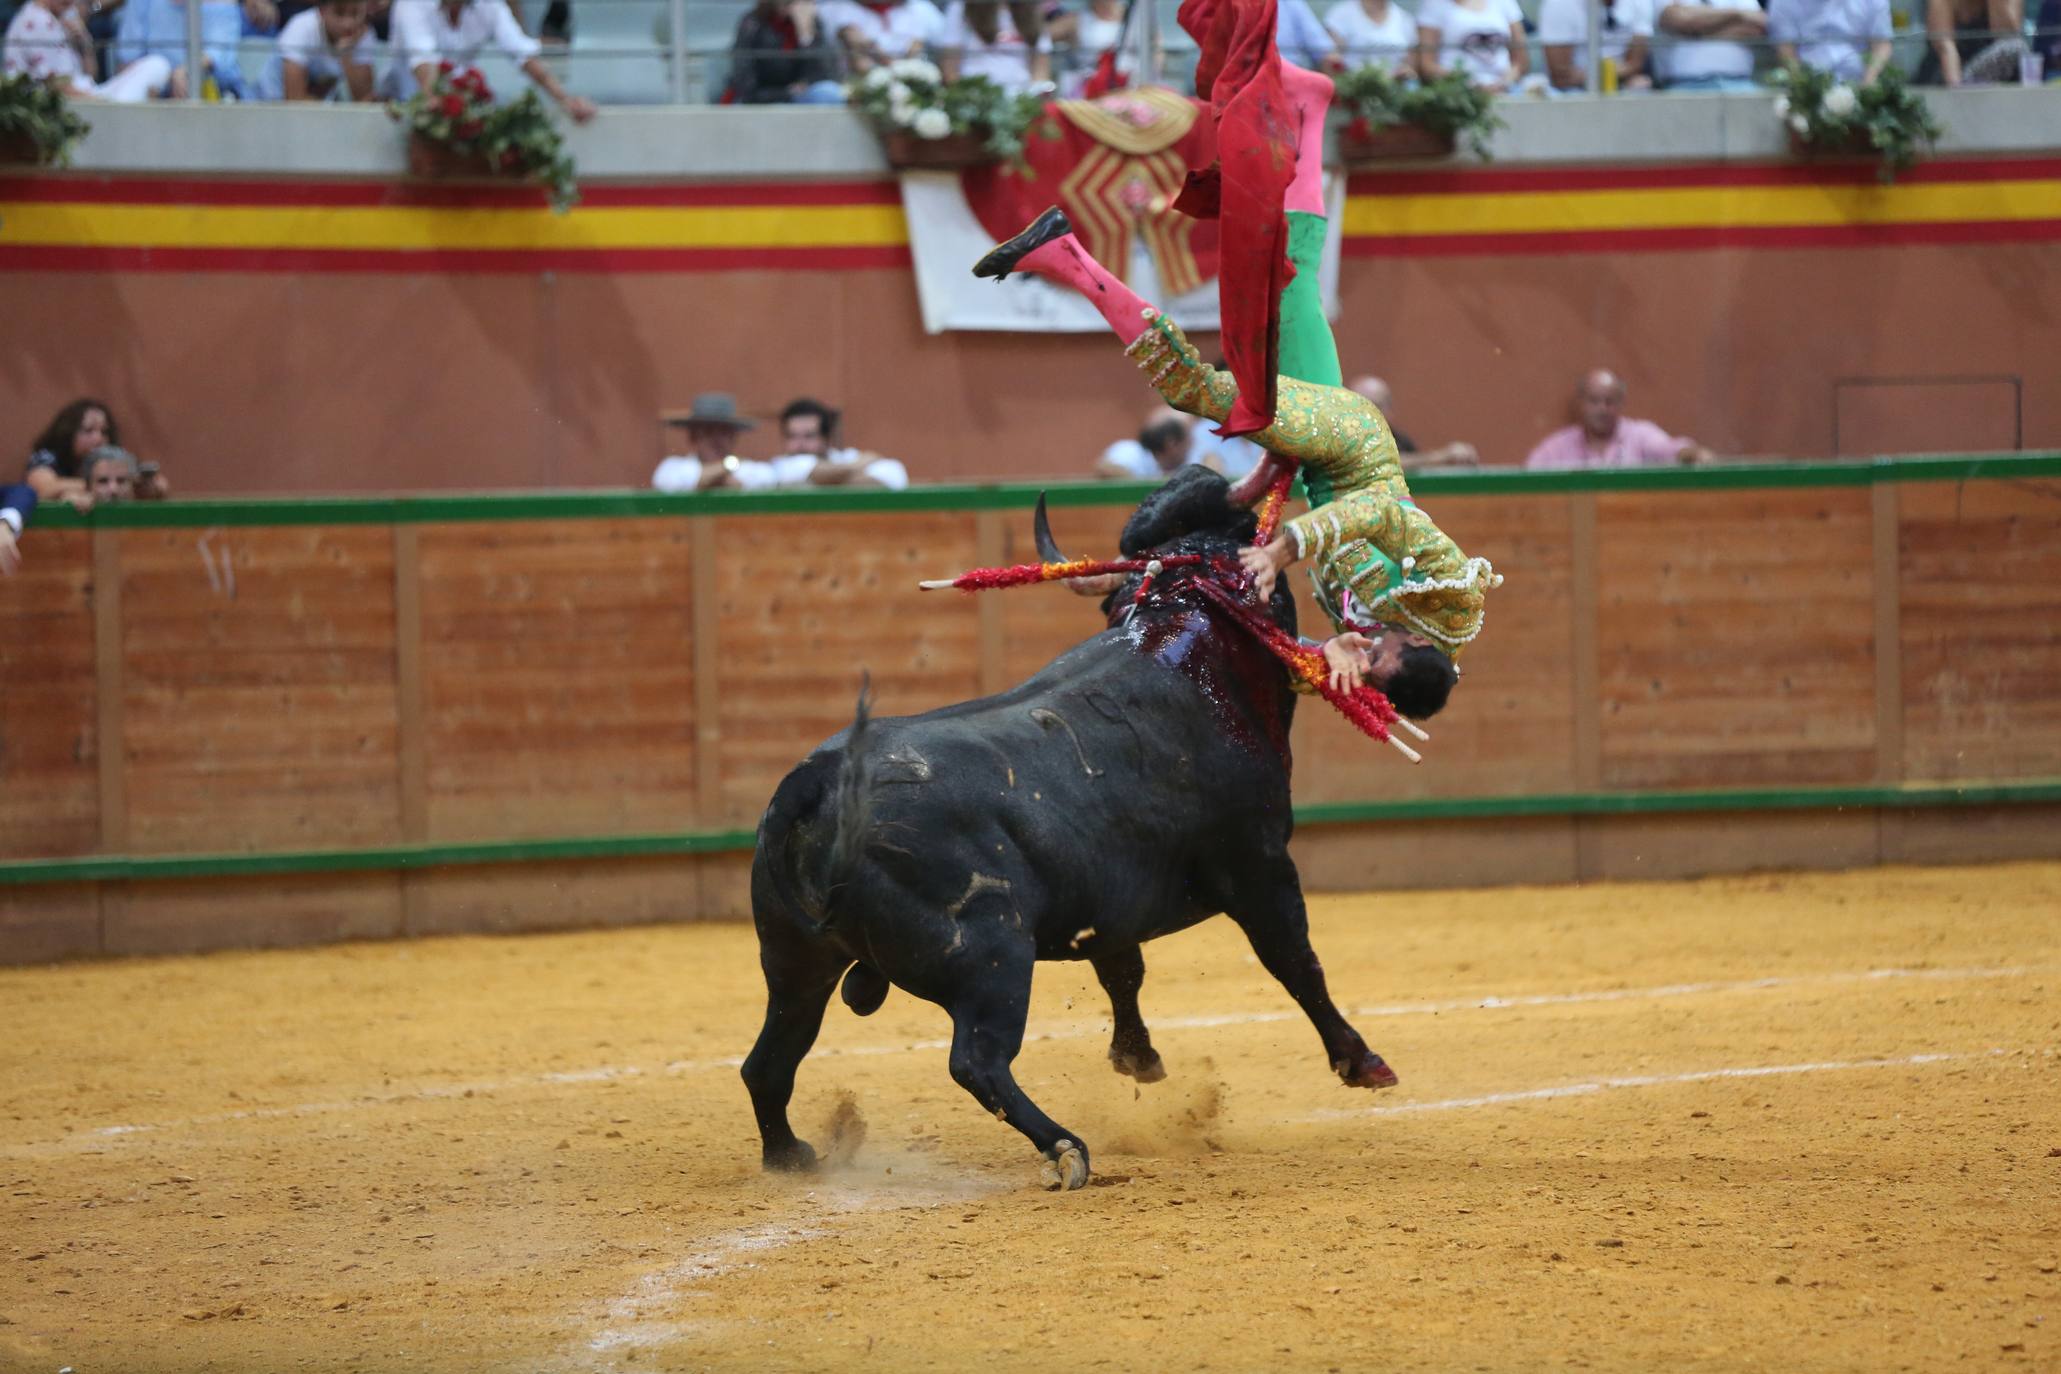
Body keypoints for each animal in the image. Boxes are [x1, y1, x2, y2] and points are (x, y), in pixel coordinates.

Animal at [741, 467, 1401, 1186]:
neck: (1183, 634)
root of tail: (818, 780)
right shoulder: (1259, 866)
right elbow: (1296, 962)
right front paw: (1362, 1062)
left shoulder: (1109, 894)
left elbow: (1122, 970)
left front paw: (1138, 1057)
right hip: (992, 955)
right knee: (975, 1061)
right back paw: (1064, 1149)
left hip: (794, 961)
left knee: (768, 1061)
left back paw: (790, 1155)